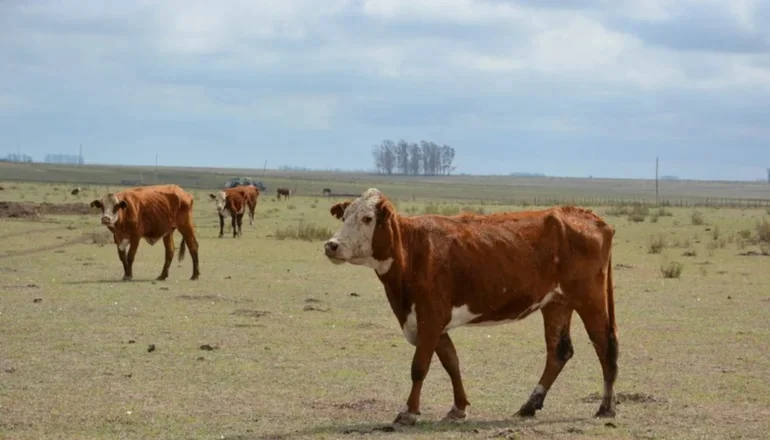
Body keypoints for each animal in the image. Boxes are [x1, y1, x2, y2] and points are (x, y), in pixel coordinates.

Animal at [320, 188, 616, 426]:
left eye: (367, 218)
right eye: (344, 217)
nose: (331, 245)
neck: (412, 250)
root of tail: (590, 217)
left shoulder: (430, 317)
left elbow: (419, 366)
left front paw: (409, 412)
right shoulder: (433, 323)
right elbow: (451, 362)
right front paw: (458, 408)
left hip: (589, 298)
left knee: (604, 345)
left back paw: (606, 407)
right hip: (556, 302)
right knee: (558, 352)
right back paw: (529, 406)